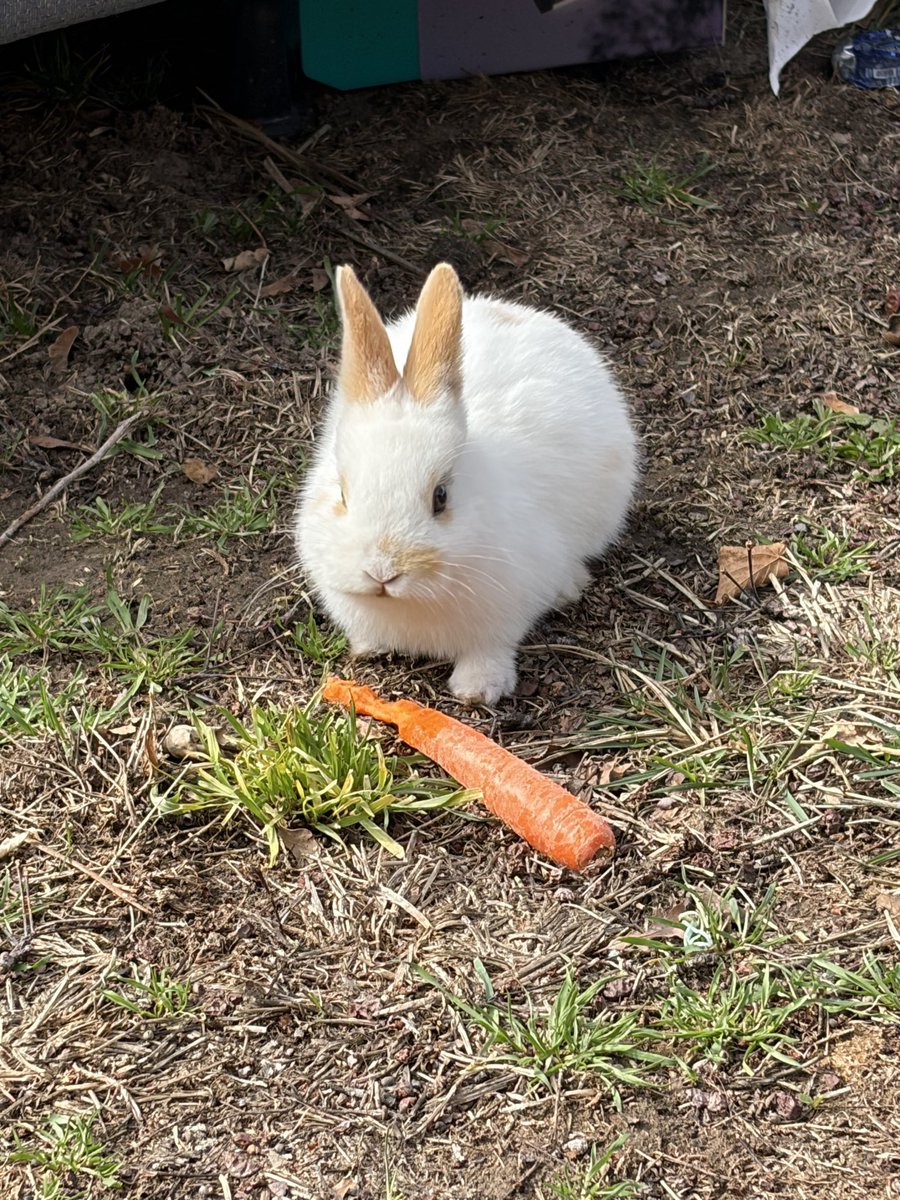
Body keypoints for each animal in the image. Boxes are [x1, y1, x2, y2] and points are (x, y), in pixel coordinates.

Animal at [294, 262, 638, 705]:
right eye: (341, 493)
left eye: (441, 496)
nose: (382, 572)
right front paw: (368, 647)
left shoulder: (506, 614)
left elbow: (493, 647)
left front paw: (478, 689)